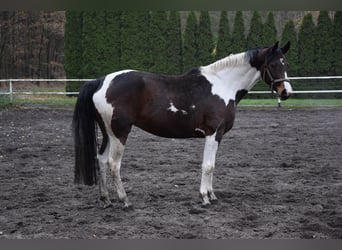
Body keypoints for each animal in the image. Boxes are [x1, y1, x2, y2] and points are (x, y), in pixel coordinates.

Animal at [72, 41, 292, 209]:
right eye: (273, 65)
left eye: (285, 63)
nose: (286, 92)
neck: (223, 85)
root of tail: (101, 81)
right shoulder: (212, 133)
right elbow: (208, 166)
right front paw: (205, 198)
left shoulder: (218, 135)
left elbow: (212, 165)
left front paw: (212, 195)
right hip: (120, 133)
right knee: (113, 164)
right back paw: (124, 200)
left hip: (108, 133)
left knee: (101, 160)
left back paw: (106, 199)